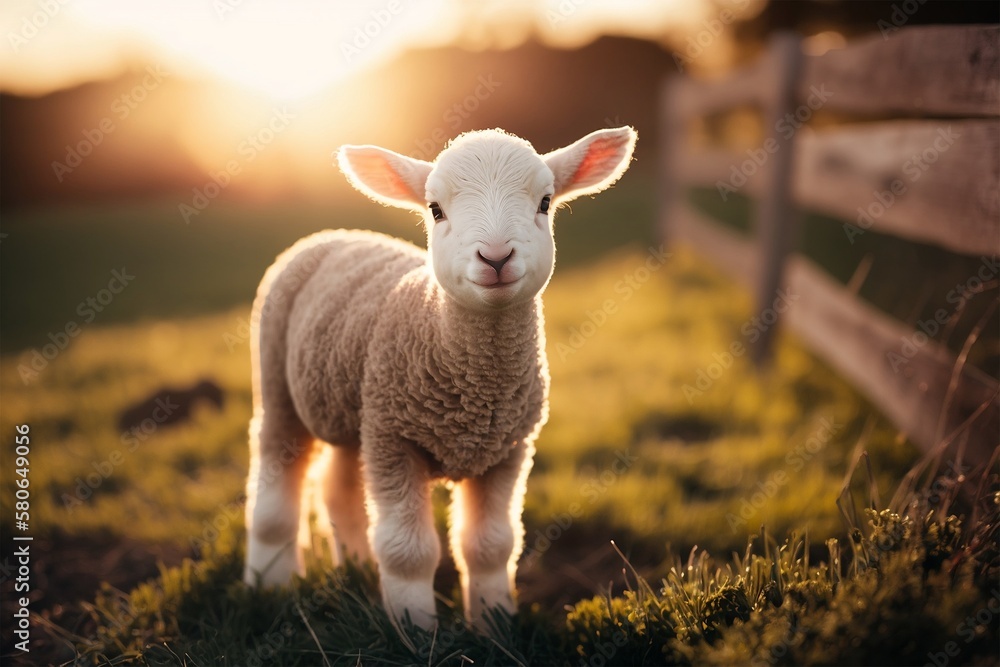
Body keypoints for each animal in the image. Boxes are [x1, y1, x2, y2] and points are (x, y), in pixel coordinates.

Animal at [243, 126, 637, 631]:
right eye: (435, 209)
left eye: (545, 202)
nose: (495, 257)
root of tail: (333, 234)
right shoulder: (394, 438)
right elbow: (407, 552)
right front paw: (415, 631)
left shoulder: (507, 449)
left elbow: (491, 546)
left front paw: (494, 624)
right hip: (278, 382)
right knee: (274, 492)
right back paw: (270, 583)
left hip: (357, 409)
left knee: (339, 487)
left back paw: (357, 568)